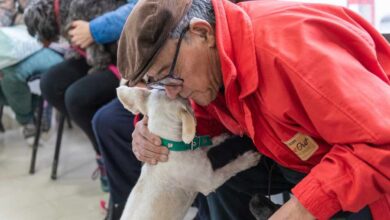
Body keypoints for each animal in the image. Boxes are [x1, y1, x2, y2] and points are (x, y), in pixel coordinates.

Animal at [116, 86, 262, 220]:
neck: (172, 146)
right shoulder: (210, 181)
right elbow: (230, 168)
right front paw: (247, 160)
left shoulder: (198, 149)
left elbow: (207, 143)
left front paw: (221, 137)